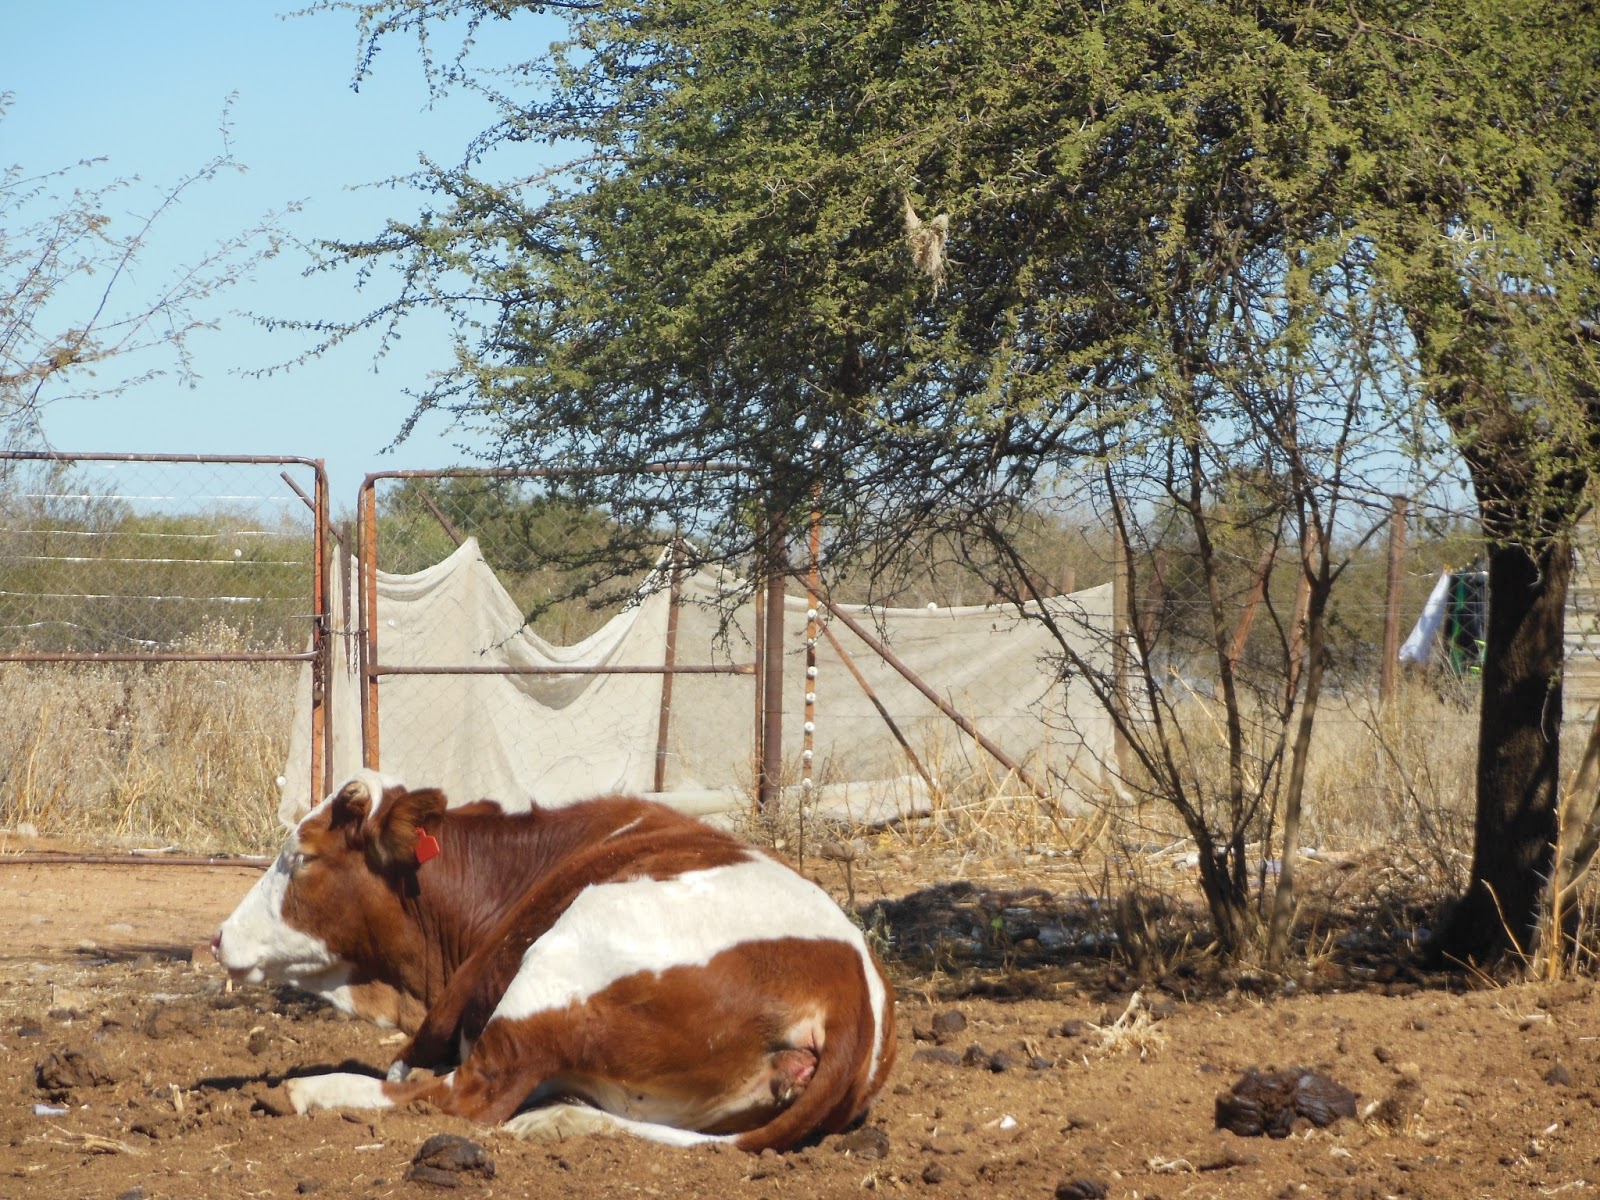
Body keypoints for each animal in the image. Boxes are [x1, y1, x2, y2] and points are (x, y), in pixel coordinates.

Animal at [213, 772, 896, 1152]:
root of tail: (851, 989)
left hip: (559, 961)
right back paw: (556, 1121)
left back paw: (309, 1090)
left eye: (302, 856)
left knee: (470, 1097)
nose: (219, 938)